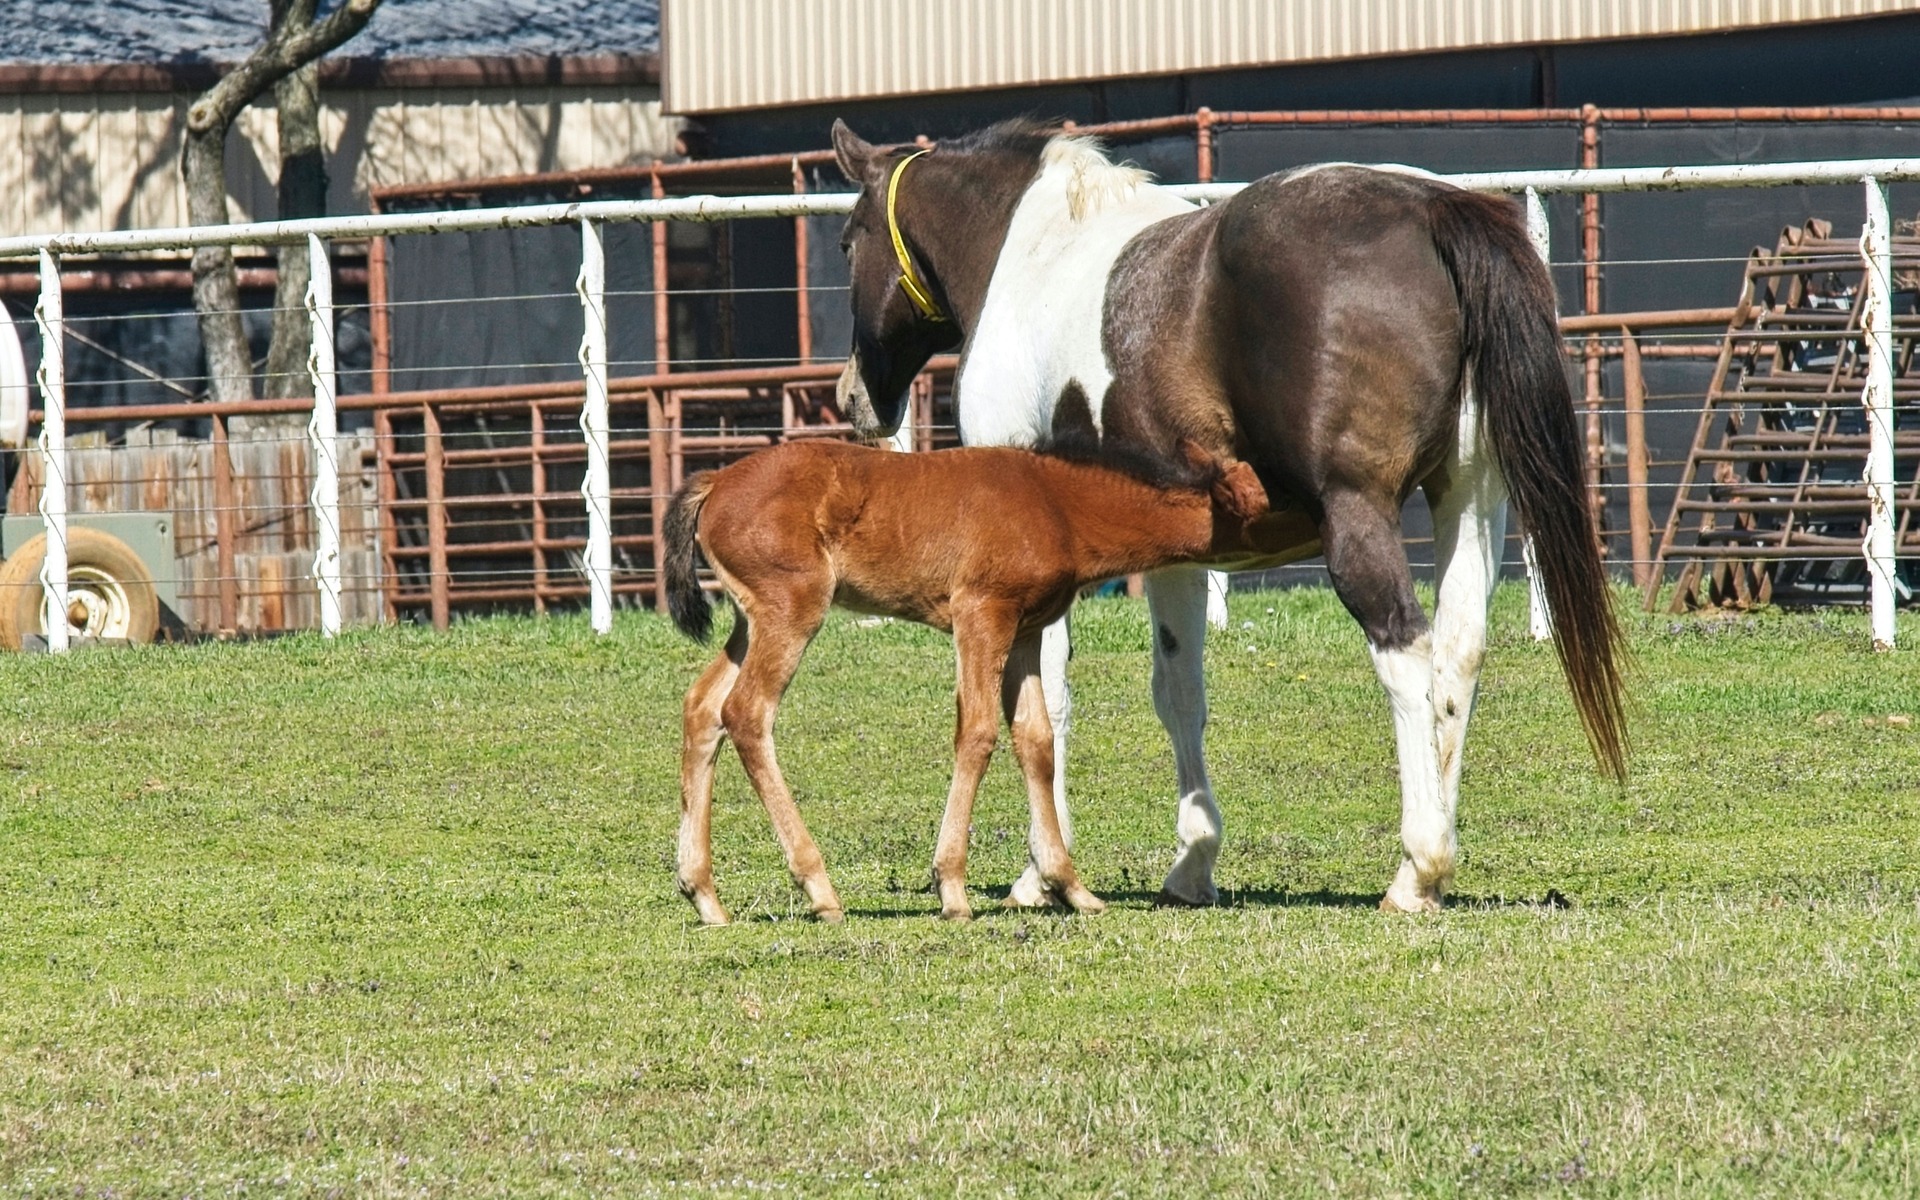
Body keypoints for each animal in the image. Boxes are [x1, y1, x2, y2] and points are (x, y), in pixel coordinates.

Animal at [668, 435, 1267, 921]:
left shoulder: (1025, 632)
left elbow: (1036, 739)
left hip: (751, 621)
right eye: (1261, 502)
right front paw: (952, 888)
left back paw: (704, 895)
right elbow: (977, 733)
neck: (1058, 503)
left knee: (702, 706)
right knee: (746, 712)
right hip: (792, 608)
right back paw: (819, 889)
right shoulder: (981, 612)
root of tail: (716, 482)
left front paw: (1071, 888)